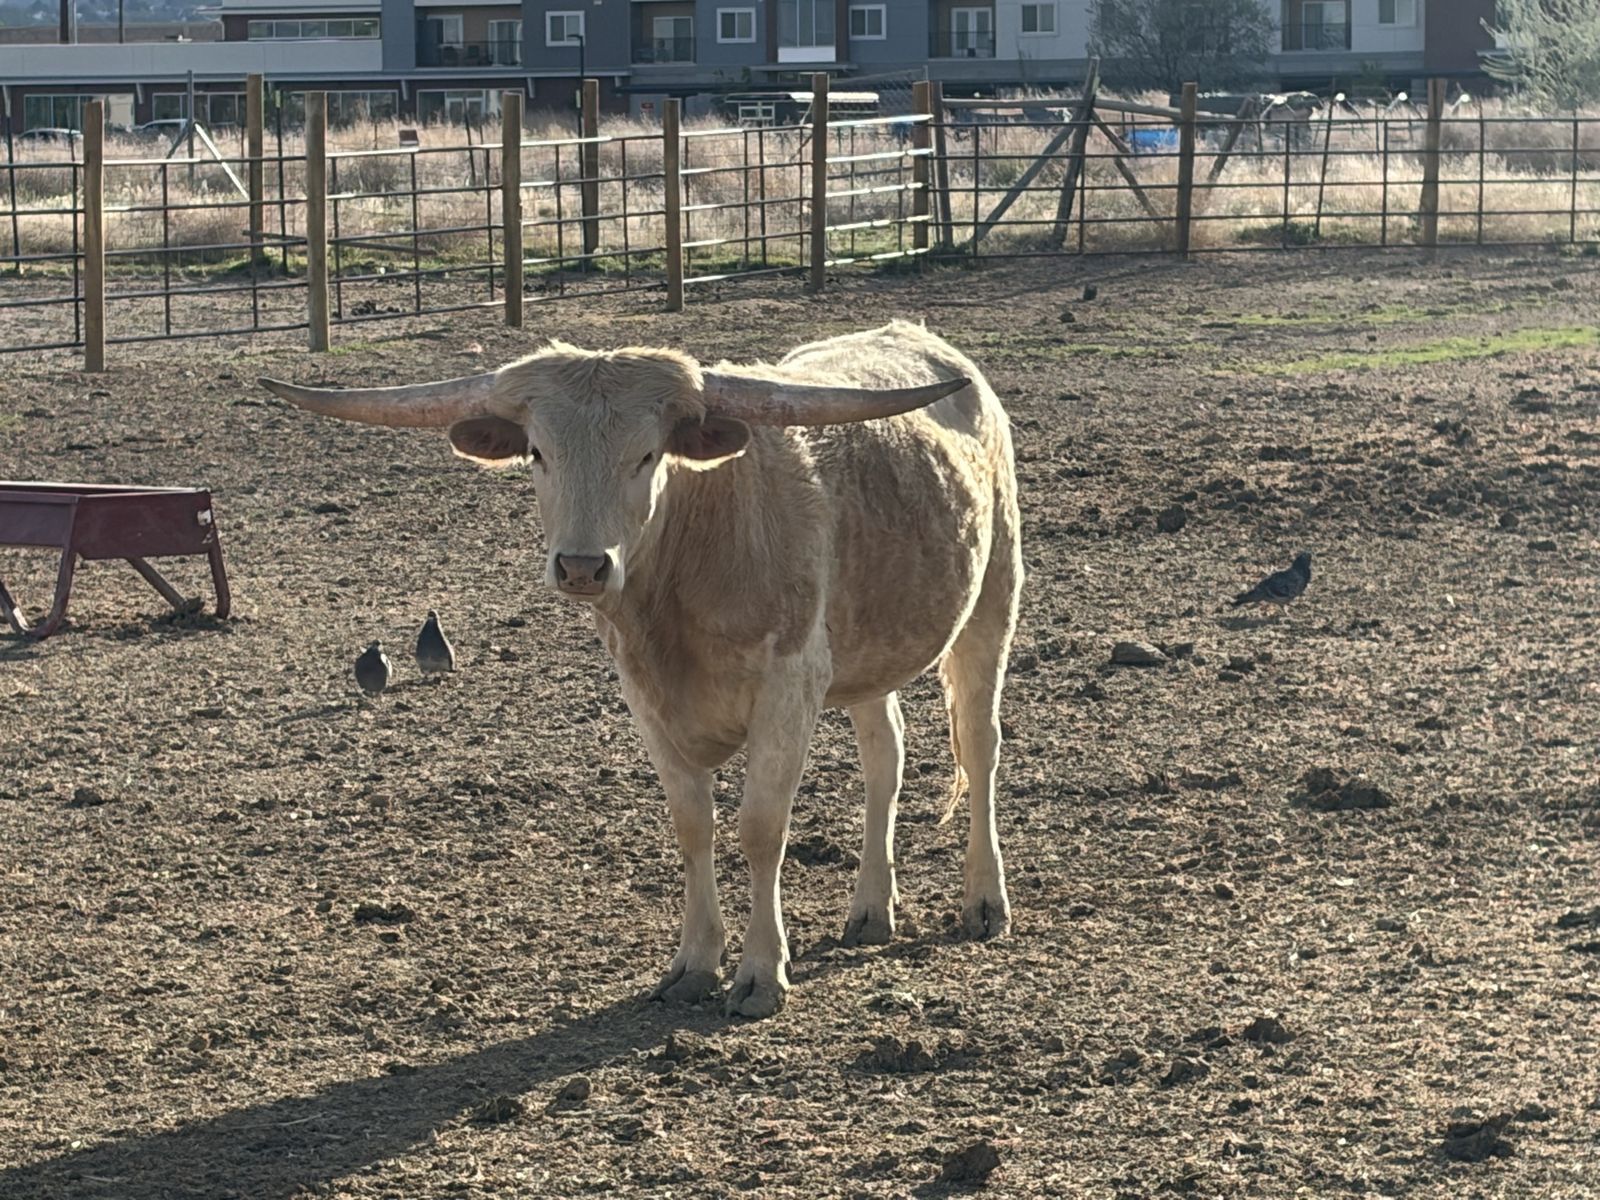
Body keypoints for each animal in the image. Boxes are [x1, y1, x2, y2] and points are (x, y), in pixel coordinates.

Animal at [260, 320, 1022, 1018]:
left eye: (648, 454)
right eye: (537, 452)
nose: (581, 566)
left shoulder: (790, 684)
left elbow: (761, 827)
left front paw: (760, 971)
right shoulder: (646, 697)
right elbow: (692, 824)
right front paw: (694, 962)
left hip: (992, 601)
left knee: (979, 745)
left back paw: (985, 900)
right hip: (870, 650)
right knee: (883, 757)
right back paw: (870, 909)